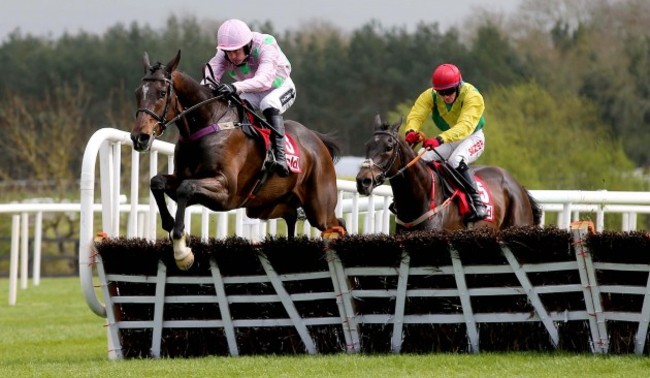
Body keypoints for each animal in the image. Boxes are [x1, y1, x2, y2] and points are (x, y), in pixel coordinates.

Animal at [132, 51, 344, 268]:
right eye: (138, 93)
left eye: (161, 93)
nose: (140, 137)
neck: (209, 123)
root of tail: (317, 141)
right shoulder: (184, 180)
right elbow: (157, 182)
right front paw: (170, 226)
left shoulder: (226, 191)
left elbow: (186, 187)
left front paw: (182, 252)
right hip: (265, 207)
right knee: (292, 215)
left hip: (319, 209)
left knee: (336, 225)